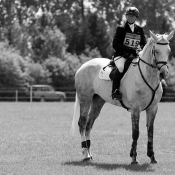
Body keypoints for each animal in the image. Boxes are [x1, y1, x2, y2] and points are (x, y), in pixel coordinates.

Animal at [70, 30, 174, 164]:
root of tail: (83, 66)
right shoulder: (135, 109)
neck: (148, 76)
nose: (163, 73)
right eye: (156, 51)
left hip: (97, 102)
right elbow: (135, 132)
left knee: (89, 125)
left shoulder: (153, 108)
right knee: (82, 123)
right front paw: (134, 158)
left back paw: (90, 153)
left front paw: (152, 157)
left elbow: (150, 131)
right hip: (85, 99)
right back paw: (85, 154)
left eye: (169, 50)